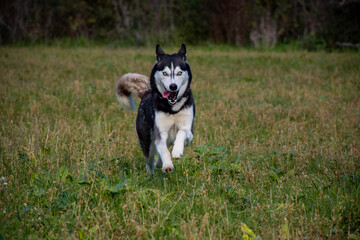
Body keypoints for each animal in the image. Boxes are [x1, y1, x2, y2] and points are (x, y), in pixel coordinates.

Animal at [116, 44, 194, 173]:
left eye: (179, 73)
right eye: (165, 73)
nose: (173, 86)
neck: (172, 109)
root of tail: (147, 93)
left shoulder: (188, 131)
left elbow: (181, 132)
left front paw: (177, 151)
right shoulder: (160, 133)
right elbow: (163, 150)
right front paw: (167, 164)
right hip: (147, 141)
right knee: (150, 159)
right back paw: (151, 173)